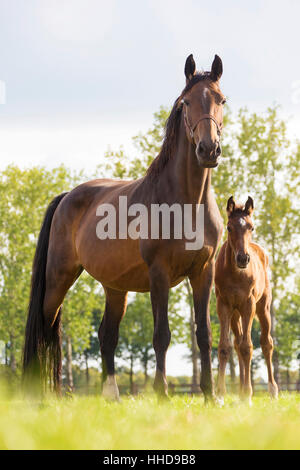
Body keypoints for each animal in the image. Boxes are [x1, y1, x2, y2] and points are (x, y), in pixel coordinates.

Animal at [216, 195, 276, 404]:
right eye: (229, 227)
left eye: (251, 227)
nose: (243, 258)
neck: (236, 274)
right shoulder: (224, 306)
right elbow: (225, 347)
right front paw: (220, 395)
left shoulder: (248, 305)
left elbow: (248, 346)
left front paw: (248, 395)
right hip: (235, 314)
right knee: (237, 342)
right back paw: (241, 389)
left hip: (263, 308)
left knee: (266, 343)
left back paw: (272, 390)